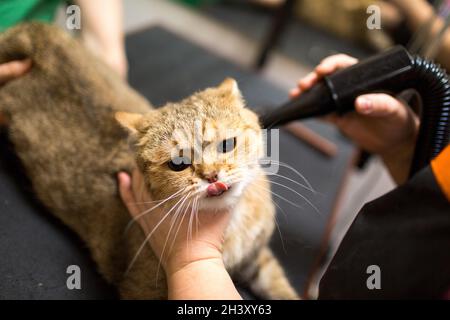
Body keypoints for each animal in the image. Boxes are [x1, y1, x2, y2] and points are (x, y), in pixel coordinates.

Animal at [0, 23, 298, 300]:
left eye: (227, 145)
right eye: (178, 163)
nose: (211, 175)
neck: (232, 226)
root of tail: (42, 34)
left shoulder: (257, 259)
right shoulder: (143, 288)